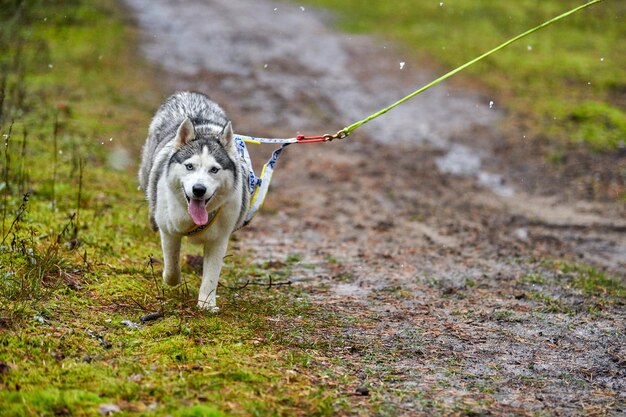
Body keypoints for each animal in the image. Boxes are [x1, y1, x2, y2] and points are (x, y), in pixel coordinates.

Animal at [139, 92, 249, 312]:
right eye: (189, 166)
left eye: (214, 169)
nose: (199, 189)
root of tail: (189, 93)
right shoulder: (169, 231)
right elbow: (172, 266)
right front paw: (170, 279)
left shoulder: (219, 239)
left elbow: (211, 276)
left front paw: (206, 304)